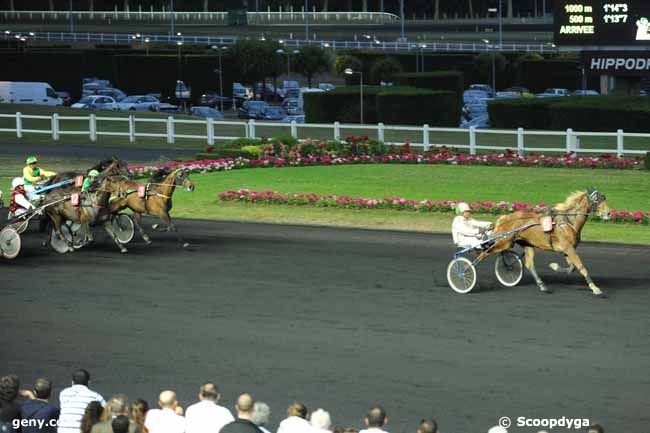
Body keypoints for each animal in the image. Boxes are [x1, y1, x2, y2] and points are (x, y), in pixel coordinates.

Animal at [478, 187, 612, 298]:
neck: (568, 221)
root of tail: (504, 218)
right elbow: (581, 267)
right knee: (484, 253)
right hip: (504, 242)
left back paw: (542, 285)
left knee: (529, 264)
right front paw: (595, 288)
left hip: (527, 244)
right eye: (596, 199)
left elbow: (572, 268)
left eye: (604, 198)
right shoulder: (568, 248)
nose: (609, 213)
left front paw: (554, 266)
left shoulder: (567, 250)